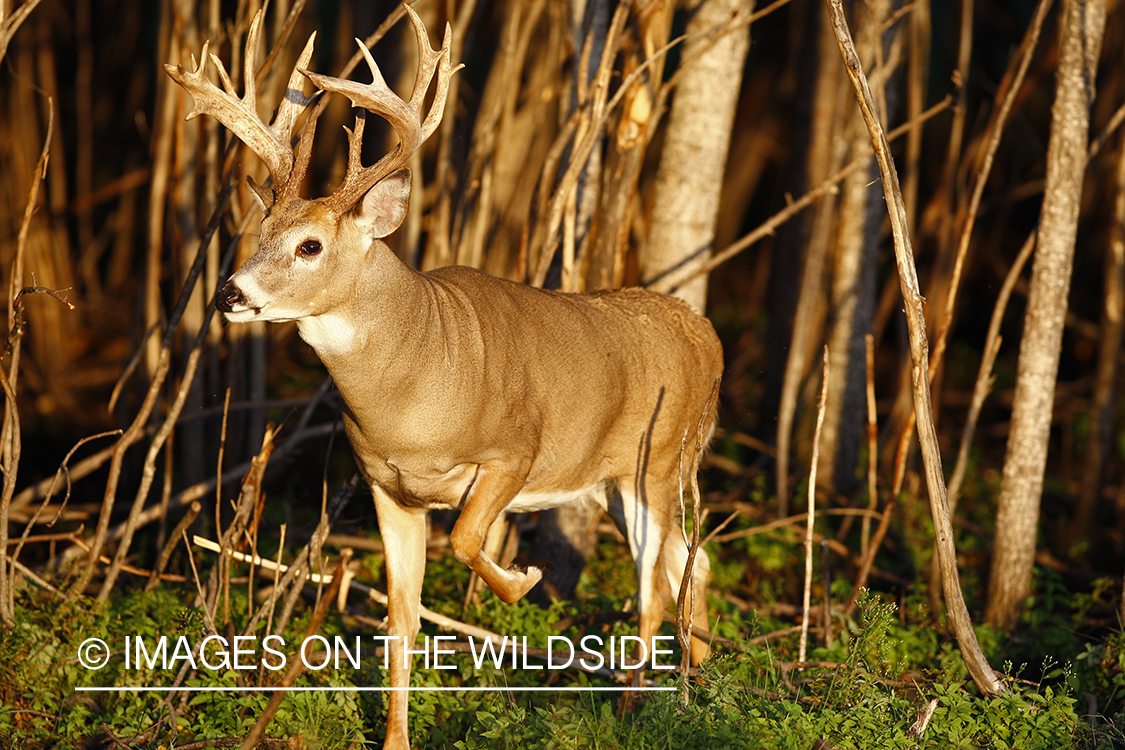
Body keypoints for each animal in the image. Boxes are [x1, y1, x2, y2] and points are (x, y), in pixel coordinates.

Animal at [168, 7, 720, 750]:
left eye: (310, 244)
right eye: (260, 232)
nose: (229, 293)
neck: (419, 383)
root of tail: (707, 337)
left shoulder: (514, 452)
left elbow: (464, 538)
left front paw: (523, 578)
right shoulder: (385, 484)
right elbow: (401, 616)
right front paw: (396, 738)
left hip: (657, 461)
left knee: (652, 582)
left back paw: (636, 705)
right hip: (616, 480)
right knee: (690, 560)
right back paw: (700, 670)